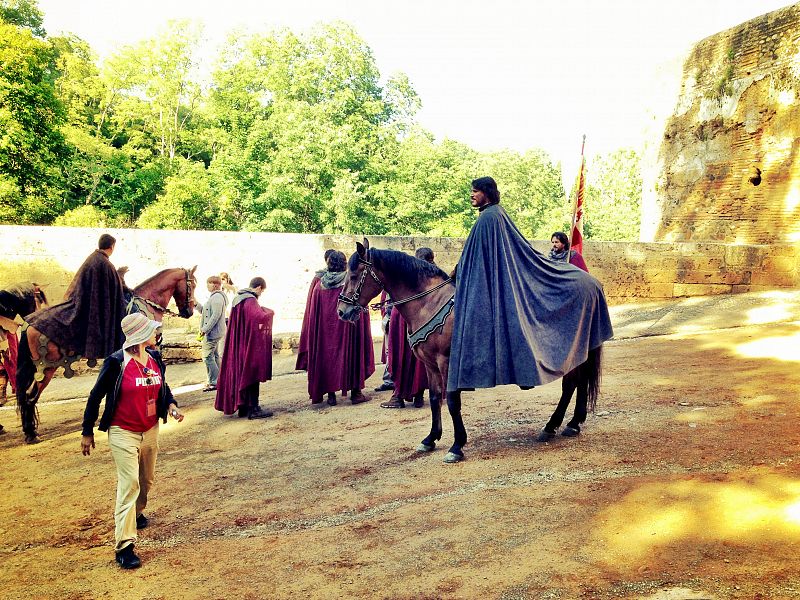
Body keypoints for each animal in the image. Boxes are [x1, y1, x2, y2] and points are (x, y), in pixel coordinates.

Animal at [16, 266, 197, 440]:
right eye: (193, 284)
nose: (189, 311)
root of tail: (28, 323)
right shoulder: (149, 347)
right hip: (46, 368)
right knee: (30, 397)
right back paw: (31, 433)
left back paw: (29, 430)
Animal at [334, 240, 604, 464]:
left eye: (354, 274)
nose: (342, 312)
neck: (429, 303)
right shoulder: (429, 364)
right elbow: (435, 398)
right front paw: (430, 439)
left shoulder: (448, 361)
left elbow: (453, 401)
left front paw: (457, 446)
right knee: (579, 383)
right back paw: (573, 423)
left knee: (570, 385)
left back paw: (553, 425)